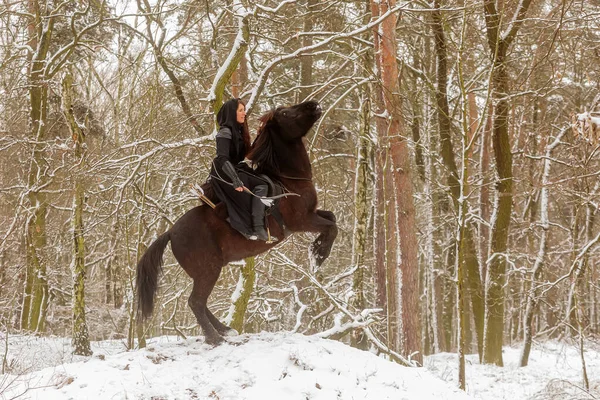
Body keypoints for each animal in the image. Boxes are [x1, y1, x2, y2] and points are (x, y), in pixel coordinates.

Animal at [137, 101, 340, 344]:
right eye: (284, 113)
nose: (315, 105)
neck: (289, 180)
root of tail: (170, 232)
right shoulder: (302, 220)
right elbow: (332, 227)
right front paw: (318, 256)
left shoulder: (313, 213)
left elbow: (332, 218)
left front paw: (317, 251)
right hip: (208, 270)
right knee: (195, 302)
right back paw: (215, 338)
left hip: (206, 272)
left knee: (201, 303)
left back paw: (225, 330)